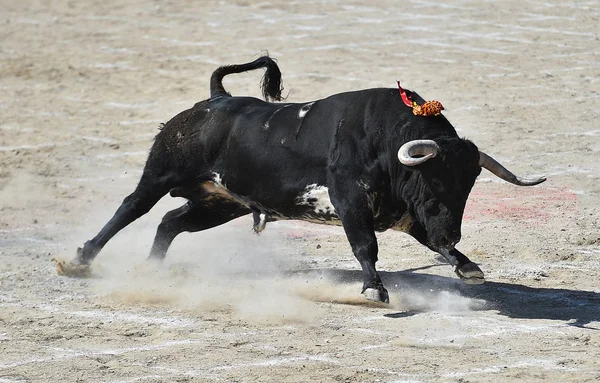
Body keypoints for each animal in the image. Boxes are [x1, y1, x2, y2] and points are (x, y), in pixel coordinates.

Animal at [72, 56, 548, 304]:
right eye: (434, 180)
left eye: (468, 185)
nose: (453, 232)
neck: (385, 140)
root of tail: (215, 101)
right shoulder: (350, 199)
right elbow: (365, 245)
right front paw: (373, 289)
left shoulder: (407, 215)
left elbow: (430, 243)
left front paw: (467, 266)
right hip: (162, 172)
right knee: (130, 208)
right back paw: (80, 259)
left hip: (222, 202)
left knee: (170, 222)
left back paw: (151, 273)